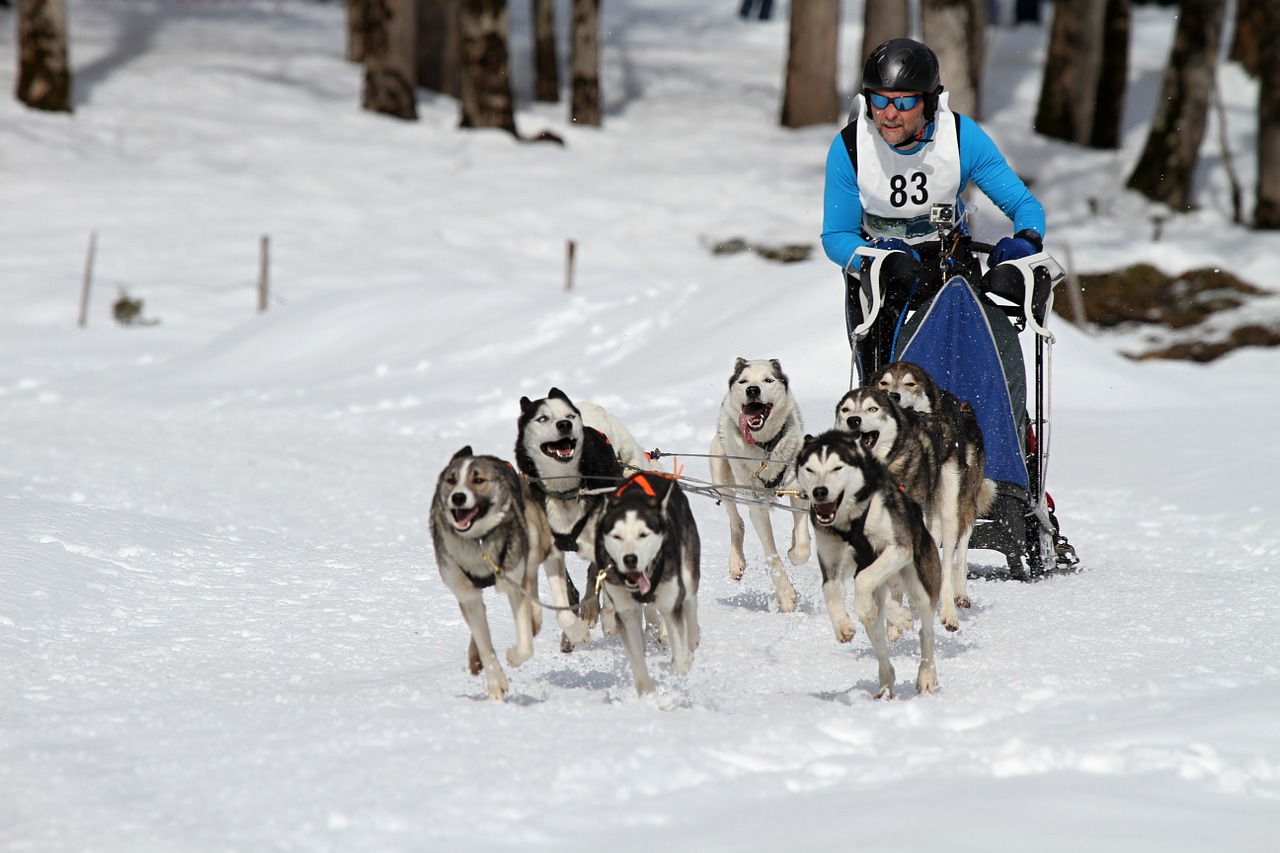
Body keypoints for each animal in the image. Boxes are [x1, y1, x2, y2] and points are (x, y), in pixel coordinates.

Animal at [430, 445, 588, 696]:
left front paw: (515, 655)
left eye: (478, 480)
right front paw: (495, 682)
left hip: (542, 547)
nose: (458, 497)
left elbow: (525, 644)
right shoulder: (467, 596)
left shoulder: (518, 581)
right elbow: (485, 644)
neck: (480, 543)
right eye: (451, 480)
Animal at [596, 468, 706, 696]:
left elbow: (681, 660)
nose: (629, 559)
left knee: (690, 599)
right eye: (617, 536)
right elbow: (637, 660)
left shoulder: (670, 602)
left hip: (688, 568)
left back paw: (692, 637)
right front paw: (648, 695)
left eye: (643, 534)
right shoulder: (625, 611)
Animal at [711, 356, 808, 607]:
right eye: (744, 381)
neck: (764, 447)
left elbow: (802, 545)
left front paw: (794, 549)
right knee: (736, 522)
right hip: (722, 479)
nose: (752, 390)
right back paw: (736, 562)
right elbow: (772, 556)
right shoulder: (757, 506)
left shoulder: (798, 490)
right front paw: (786, 595)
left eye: (768, 380)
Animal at [793, 432, 947, 696]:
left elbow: (863, 579)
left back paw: (926, 675)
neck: (850, 522)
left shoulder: (899, 548)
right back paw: (885, 684)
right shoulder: (832, 564)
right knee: (881, 646)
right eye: (810, 469)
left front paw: (863, 606)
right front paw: (842, 625)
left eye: (837, 467)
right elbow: (830, 590)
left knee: (925, 631)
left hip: (921, 582)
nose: (820, 491)